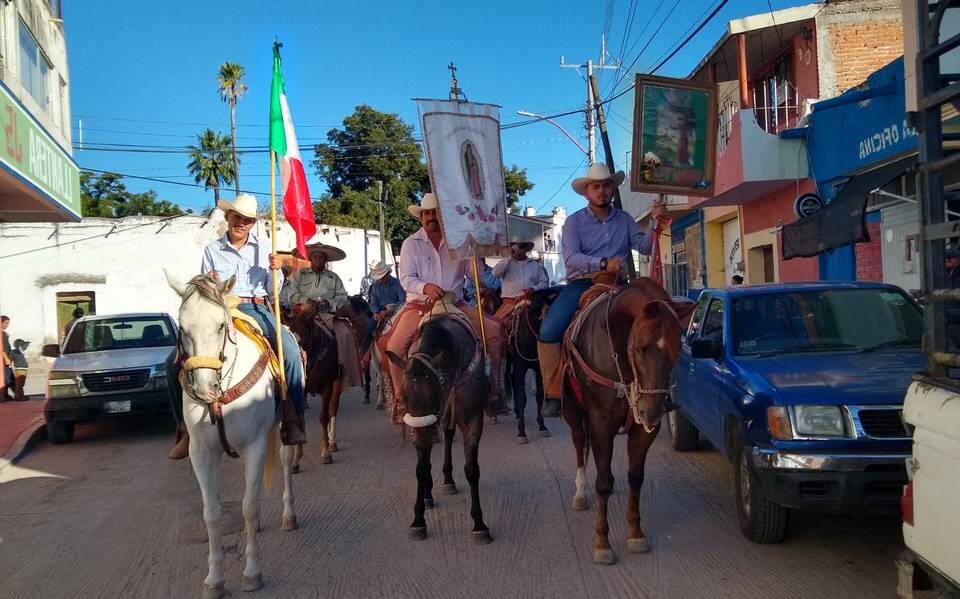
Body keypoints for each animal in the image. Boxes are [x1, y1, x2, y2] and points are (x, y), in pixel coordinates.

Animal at [167, 274, 298, 599]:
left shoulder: (255, 446)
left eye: (220, 326)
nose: (204, 388)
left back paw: (289, 515)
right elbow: (212, 514)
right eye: (182, 328)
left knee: (285, 461)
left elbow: (249, 508)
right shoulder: (201, 453)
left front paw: (252, 573)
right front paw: (214, 580)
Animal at [386, 316, 492, 548]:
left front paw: (479, 523)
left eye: (432, 394)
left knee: (449, 436)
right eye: (403, 398)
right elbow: (421, 467)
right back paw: (429, 494)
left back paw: (448, 480)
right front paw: (418, 520)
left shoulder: (472, 417)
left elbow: (471, 469)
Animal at [564, 278, 688, 564]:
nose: (650, 412)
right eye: (641, 348)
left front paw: (635, 533)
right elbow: (602, 483)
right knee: (579, 444)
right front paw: (603, 543)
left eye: (677, 351)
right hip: (573, 411)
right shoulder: (600, 423)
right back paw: (579, 493)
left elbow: (635, 477)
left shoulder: (643, 431)